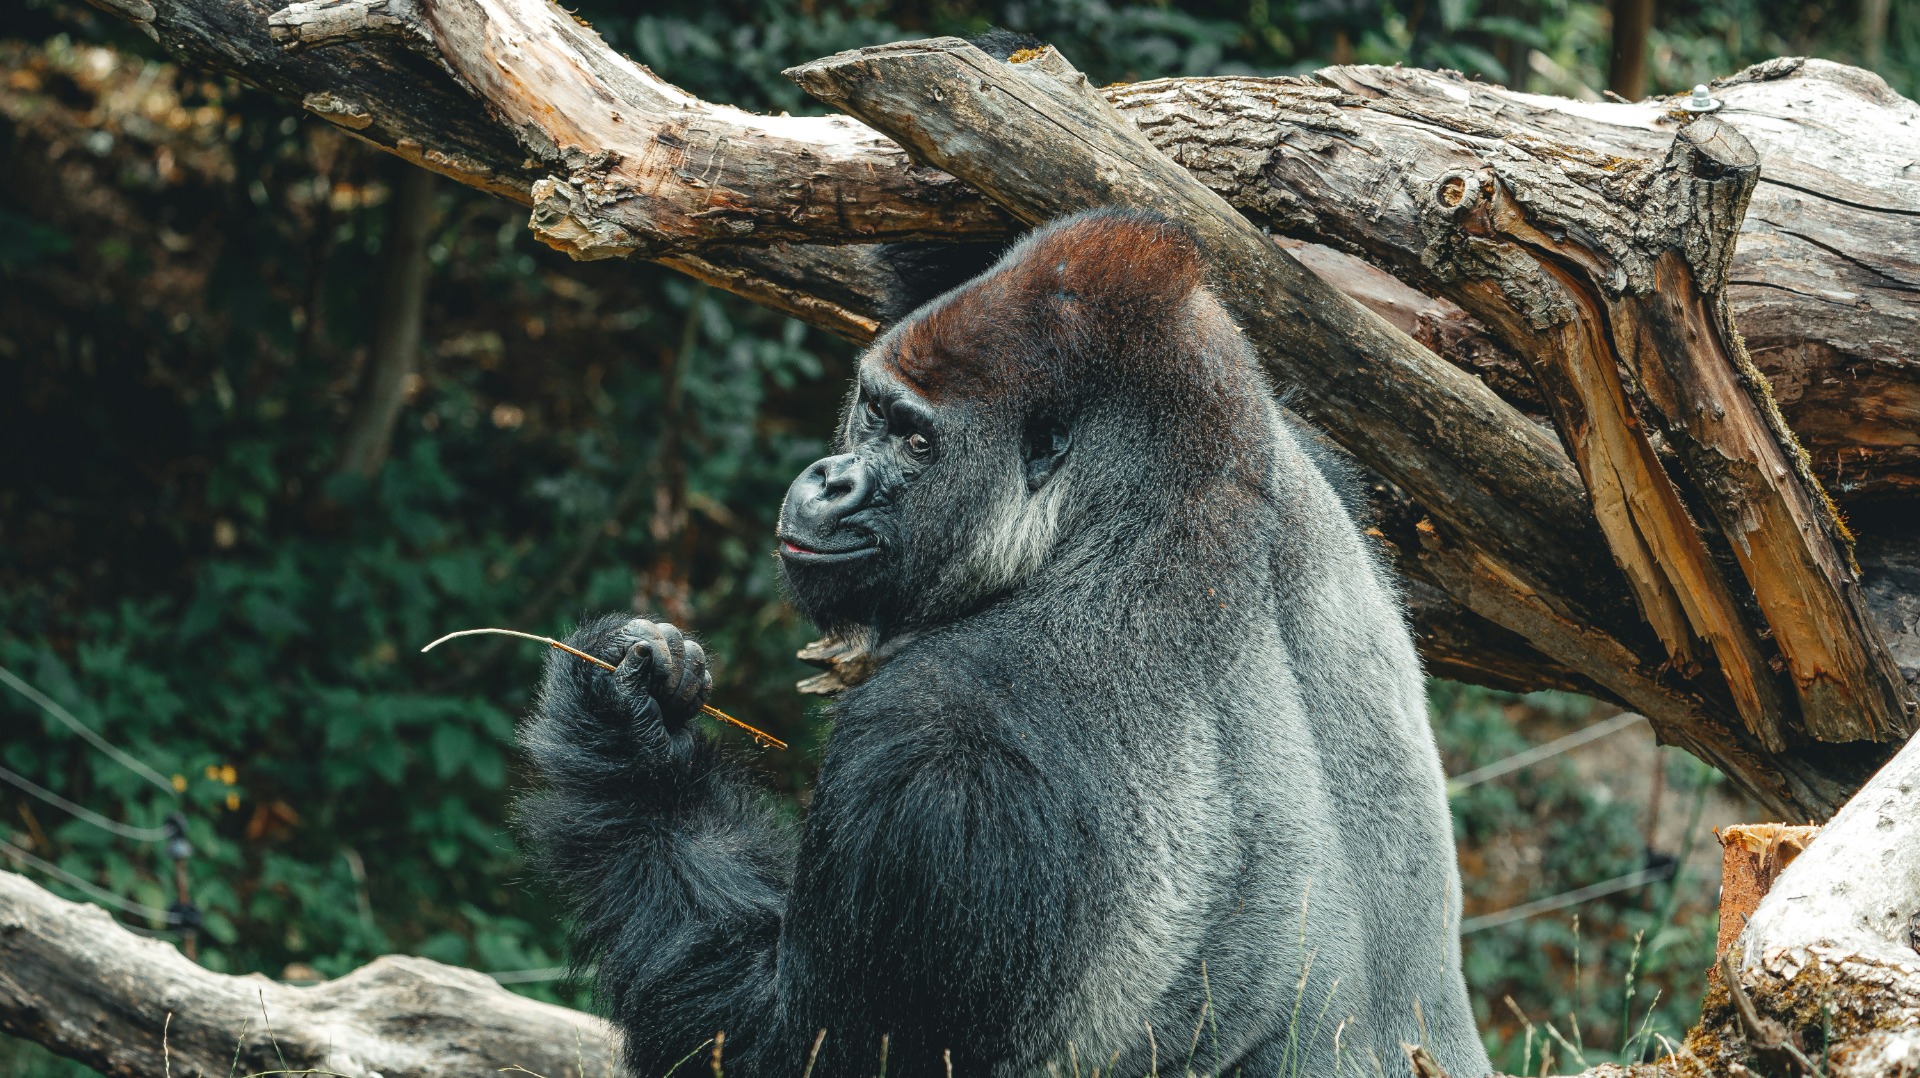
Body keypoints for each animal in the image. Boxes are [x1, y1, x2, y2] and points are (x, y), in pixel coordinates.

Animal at [516, 209, 1491, 1078]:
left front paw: (624, 737)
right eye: (871, 412)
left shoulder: (938, 755)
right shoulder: (1308, 457)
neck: (1143, 510)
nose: (831, 482)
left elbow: (788, 1051)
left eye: (916, 441)